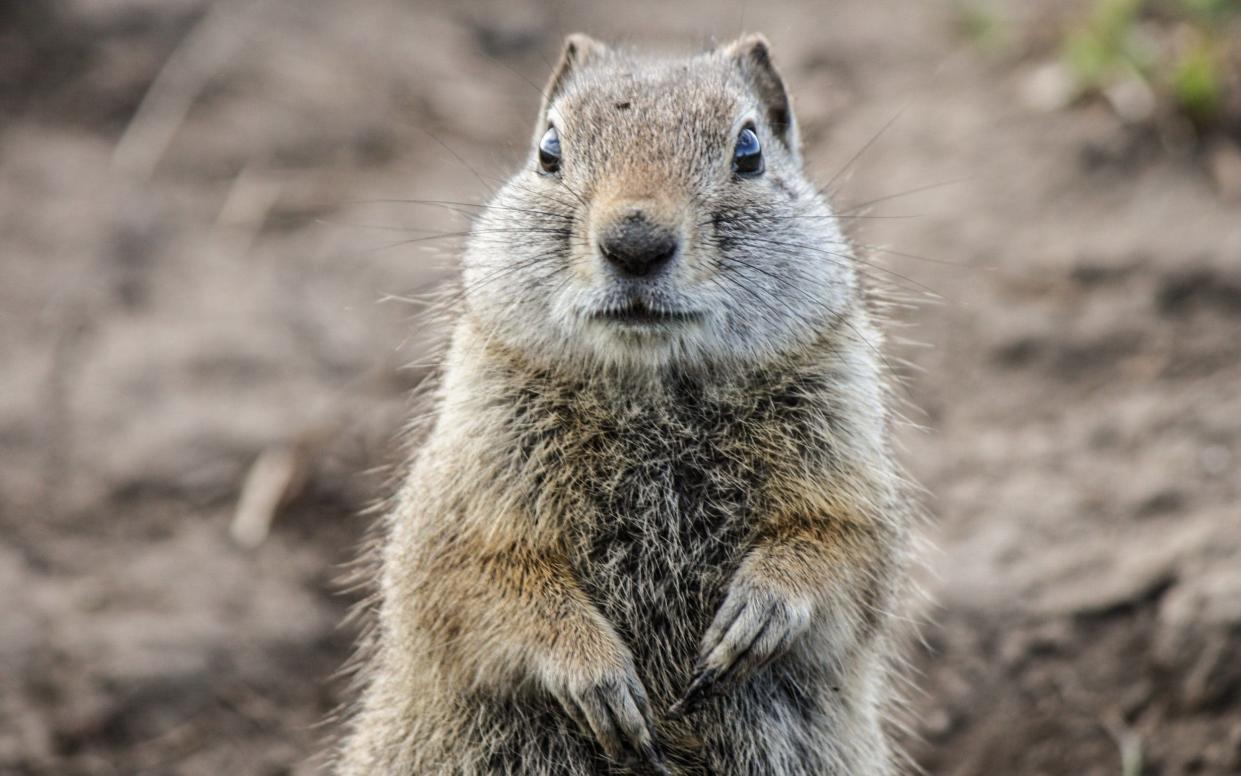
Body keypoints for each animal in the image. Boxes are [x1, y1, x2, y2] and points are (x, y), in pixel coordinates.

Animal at [335, 31, 918, 774]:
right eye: (548, 151)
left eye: (749, 150)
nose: (635, 243)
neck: (653, 395)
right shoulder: (471, 470)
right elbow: (474, 578)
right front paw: (601, 682)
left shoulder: (844, 443)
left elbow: (848, 545)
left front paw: (753, 618)